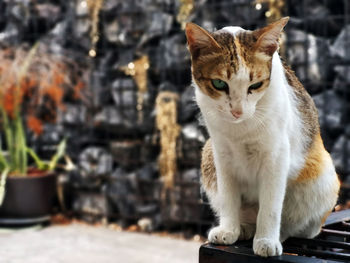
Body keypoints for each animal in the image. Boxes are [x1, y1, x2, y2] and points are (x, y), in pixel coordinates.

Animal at [185, 17, 340, 258]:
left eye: (255, 85)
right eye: (219, 84)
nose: (237, 111)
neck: (241, 128)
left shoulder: (276, 156)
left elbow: (271, 205)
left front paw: (266, 240)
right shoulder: (221, 152)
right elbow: (228, 195)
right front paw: (229, 229)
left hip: (322, 177)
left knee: (297, 225)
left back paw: (276, 234)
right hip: (208, 154)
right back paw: (244, 227)